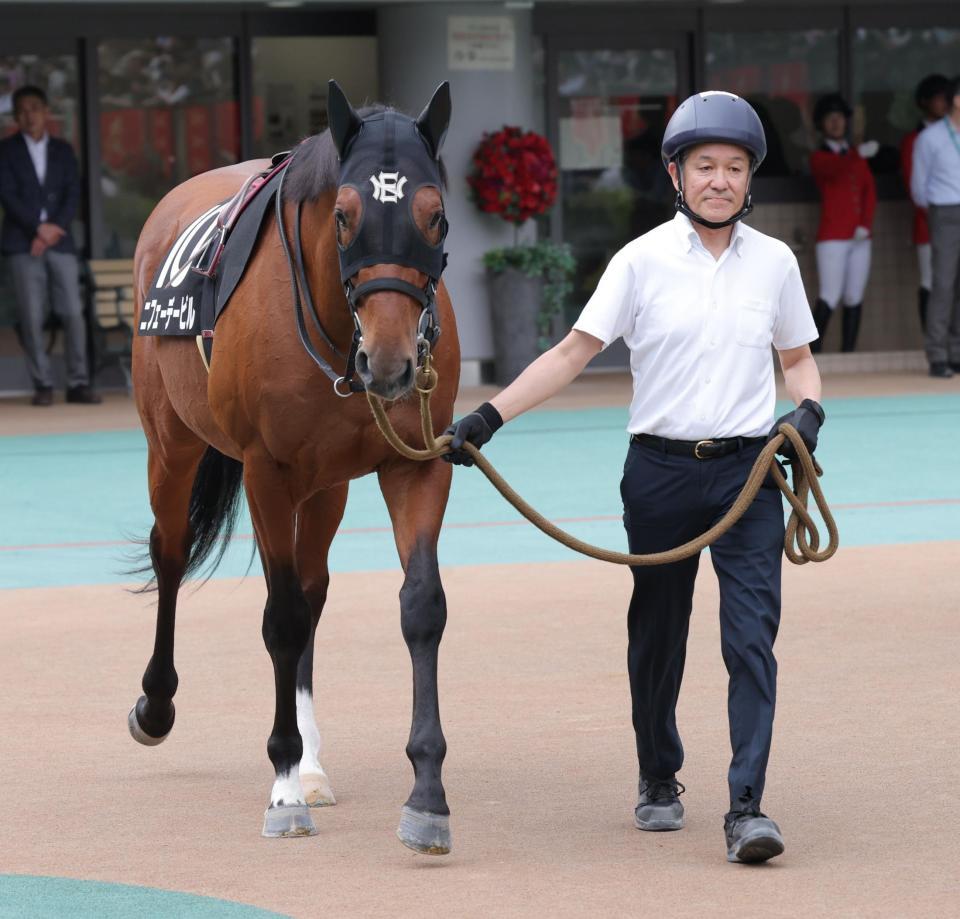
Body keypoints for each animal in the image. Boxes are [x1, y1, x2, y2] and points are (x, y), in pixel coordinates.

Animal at [126, 81, 462, 856]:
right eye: (343, 216)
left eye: (435, 215)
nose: (392, 361)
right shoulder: (266, 470)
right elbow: (278, 617)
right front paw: (281, 785)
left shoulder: (417, 465)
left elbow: (420, 607)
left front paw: (426, 793)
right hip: (172, 442)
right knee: (170, 553)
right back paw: (158, 705)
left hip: (326, 482)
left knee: (312, 590)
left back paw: (311, 762)